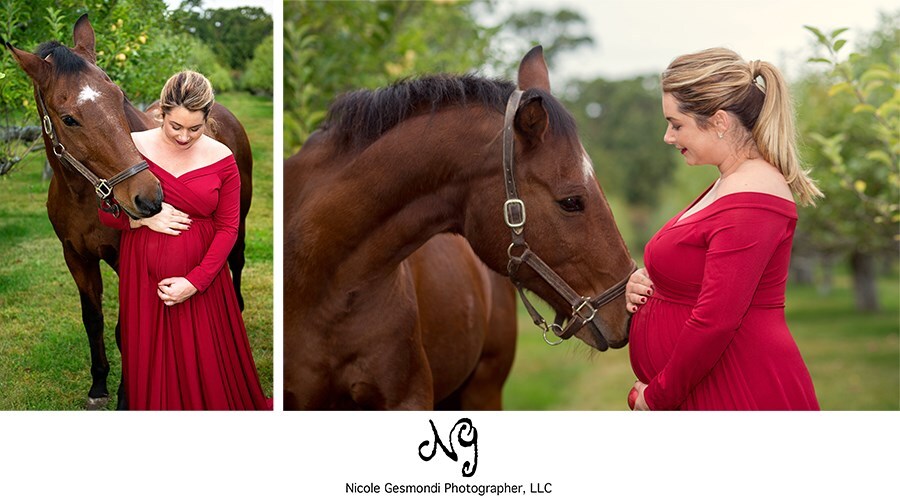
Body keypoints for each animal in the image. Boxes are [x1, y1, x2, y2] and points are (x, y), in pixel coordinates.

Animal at [2, 14, 253, 409]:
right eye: (68, 119)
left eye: (118, 97)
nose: (149, 198)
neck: (83, 197)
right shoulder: (76, 257)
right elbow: (93, 319)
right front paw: (98, 385)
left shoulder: (127, 259)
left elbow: (126, 327)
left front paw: (126, 396)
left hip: (239, 217)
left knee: (235, 259)